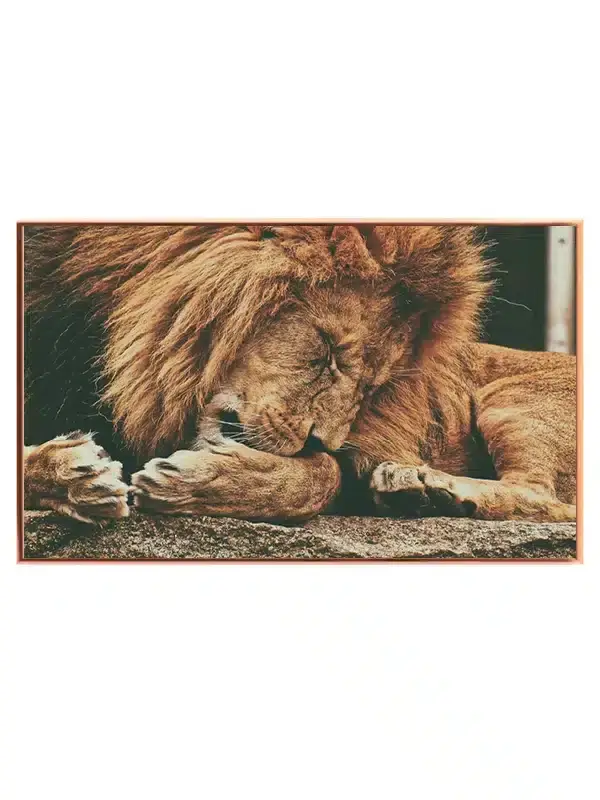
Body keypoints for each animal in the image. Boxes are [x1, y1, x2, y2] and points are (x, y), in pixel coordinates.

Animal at [22, 224, 577, 525]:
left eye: (372, 385)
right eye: (329, 351)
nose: (321, 439)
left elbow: (323, 476)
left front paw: (191, 481)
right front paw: (73, 475)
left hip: (515, 400)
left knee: (549, 500)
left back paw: (430, 488)